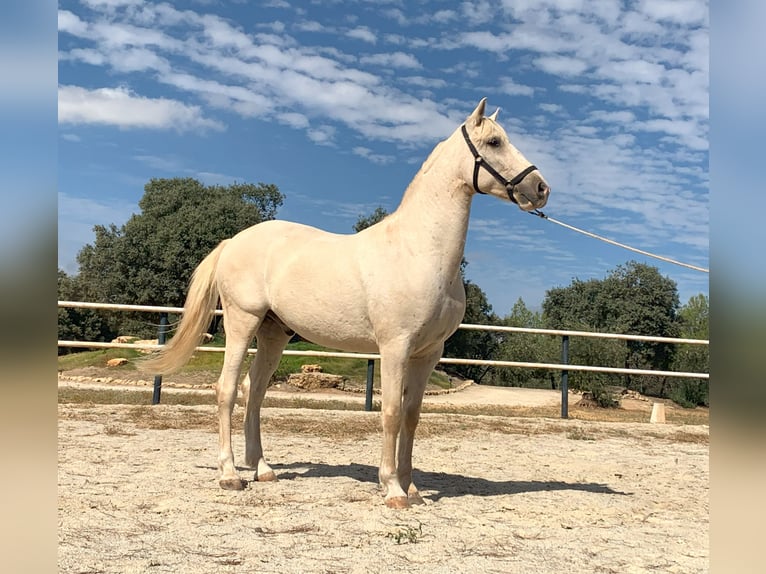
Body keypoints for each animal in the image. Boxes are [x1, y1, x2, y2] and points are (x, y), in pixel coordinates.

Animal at [142, 100, 552, 512]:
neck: (419, 250)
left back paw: (262, 469)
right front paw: (393, 489)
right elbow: (390, 413)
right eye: (495, 142)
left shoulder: (428, 353)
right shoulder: (395, 348)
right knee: (226, 389)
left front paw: (413, 489)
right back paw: (229, 475)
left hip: (274, 334)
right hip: (243, 322)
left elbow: (412, 416)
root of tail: (233, 241)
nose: (540, 188)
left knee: (253, 392)